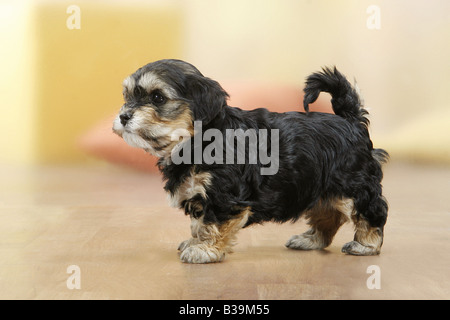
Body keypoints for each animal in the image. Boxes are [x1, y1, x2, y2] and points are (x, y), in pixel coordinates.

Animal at [111, 59, 386, 262]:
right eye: (127, 97)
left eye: (157, 98)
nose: (124, 116)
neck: (196, 140)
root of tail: (350, 120)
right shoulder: (200, 193)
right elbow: (198, 222)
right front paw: (195, 241)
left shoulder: (223, 194)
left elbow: (211, 222)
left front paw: (204, 250)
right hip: (318, 184)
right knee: (328, 212)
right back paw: (312, 240)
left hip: (352, 182)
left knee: (370, 210)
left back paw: (366, 245)